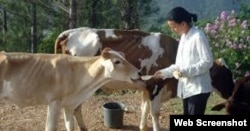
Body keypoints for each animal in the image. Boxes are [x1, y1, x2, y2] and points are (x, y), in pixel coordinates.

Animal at [0, 47, 141, 131]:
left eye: (125, 58)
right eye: (117, 61)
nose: (139, 72)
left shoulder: (69, 104)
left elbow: (70, 126)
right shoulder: (54, 102)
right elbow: (50, 128)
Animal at [53, 27, 235, 130]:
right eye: (227, 75)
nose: (232, 92)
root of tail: (69, 33)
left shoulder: (146, 86)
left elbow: (144, 108)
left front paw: (142, 126)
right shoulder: (156, 86)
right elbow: (155, 112)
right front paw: (156, 128)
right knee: (74, 108)